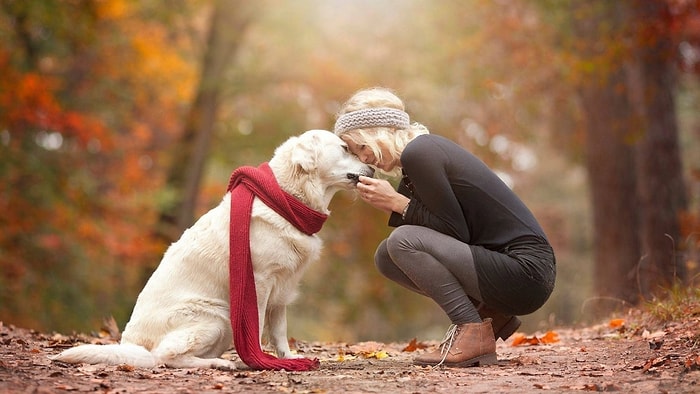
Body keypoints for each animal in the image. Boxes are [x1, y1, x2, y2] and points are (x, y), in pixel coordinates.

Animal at [52, 131, 374, 370]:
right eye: (345, 148)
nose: (372, 167)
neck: (286, 198)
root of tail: (132, 344)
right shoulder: (259, 282)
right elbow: (257, 325)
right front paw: (258, 360)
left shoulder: (282, 289)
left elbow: (279, 330)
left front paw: (287, 358)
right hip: (217, 316)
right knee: (165, 357)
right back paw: (221, 364)